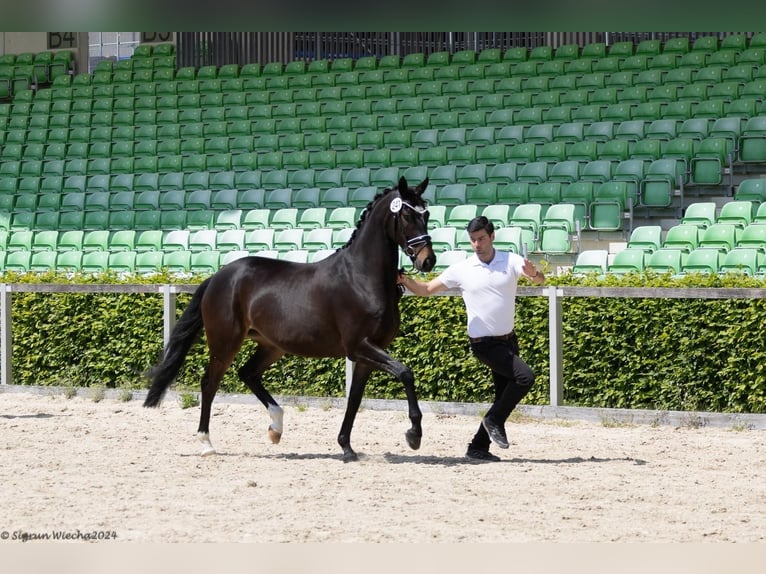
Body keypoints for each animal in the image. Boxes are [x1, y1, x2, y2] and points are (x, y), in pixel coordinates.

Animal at [141, 177, 436, 464]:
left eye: (427, 213)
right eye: (407, 215)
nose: (428, 261)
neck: (361, 277)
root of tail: (218, 276)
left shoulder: (367, 355)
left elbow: (355, 399)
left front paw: (347, 448)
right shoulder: (359, 346)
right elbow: (405, 373)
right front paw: (414, 435)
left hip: (272, 346)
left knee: (247, 373)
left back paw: (276, 428)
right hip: (225, 344)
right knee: (209, 383)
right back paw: (207, 444)